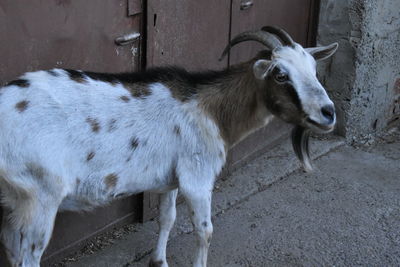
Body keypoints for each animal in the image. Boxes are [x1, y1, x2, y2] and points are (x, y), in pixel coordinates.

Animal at [0, 25, 338, 267]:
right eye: (280, 74)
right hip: (41, 195)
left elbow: (167, 218)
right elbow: (204, 230)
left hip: (12, 198)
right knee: (29, 255)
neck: (212, 110)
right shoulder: (197, 177)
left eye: (313, 69)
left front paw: (158, 261)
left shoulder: (172, 178)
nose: (328, 113)